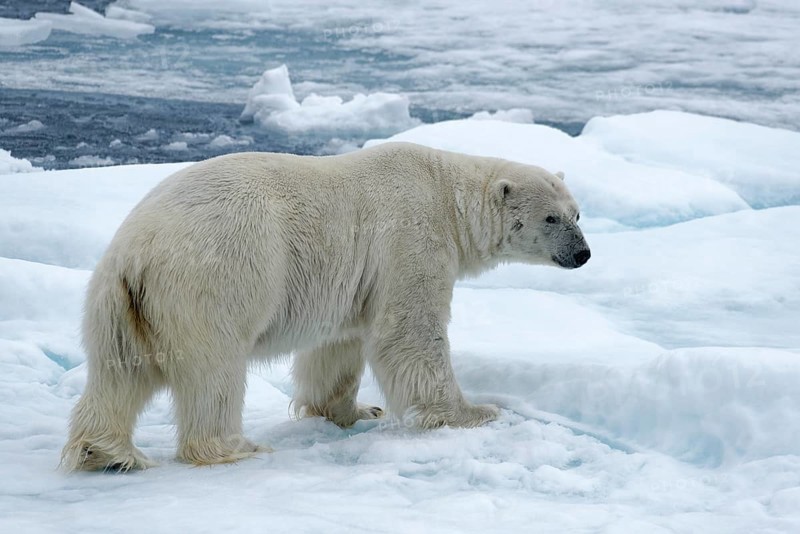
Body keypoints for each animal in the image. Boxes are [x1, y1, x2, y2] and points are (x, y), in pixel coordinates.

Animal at [61, 141, 590, 471]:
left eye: (578, 213)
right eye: (551, 217)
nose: (583, 253)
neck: (446, 193)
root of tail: (138, 250)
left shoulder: (356, 279)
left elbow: (339, 344)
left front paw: (356, 410)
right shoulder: (411, 236)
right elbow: (411, 330)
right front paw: (474, 412)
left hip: (120, 302)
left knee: (117, 372)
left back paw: (106, 453)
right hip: (214, 278)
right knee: (214, 372)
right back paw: (237, 446)